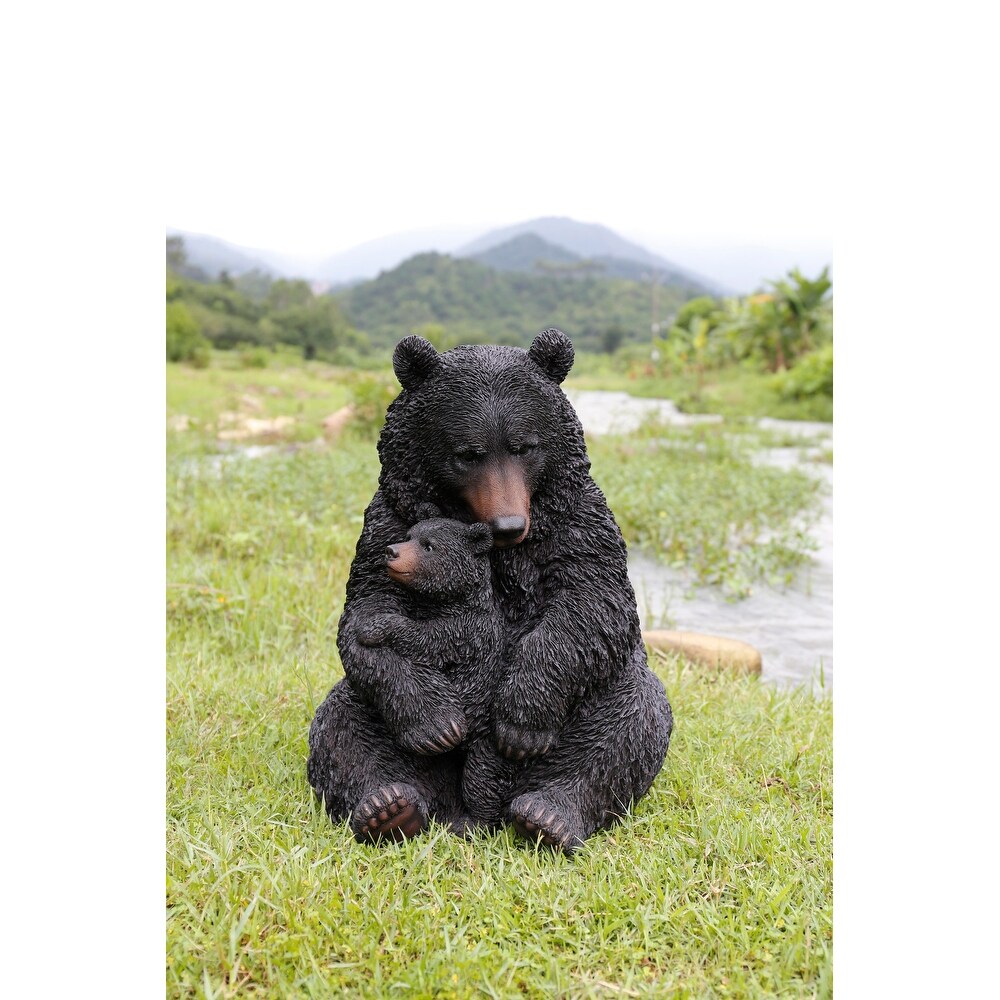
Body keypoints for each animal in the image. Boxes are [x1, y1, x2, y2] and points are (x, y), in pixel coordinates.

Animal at [308, 330, 676, 852]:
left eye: (525, 446)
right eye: (469, 453)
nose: (509, 524)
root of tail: (469, 809)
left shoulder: (579, 523)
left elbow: (593, 603)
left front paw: (522, 723)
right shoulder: (388, 522)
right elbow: (368, 606)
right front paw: (435, 723)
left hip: (595, 704)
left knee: (630, 722)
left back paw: (547, 816)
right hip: (375, 716)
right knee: (342, 727)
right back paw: (388, 808)